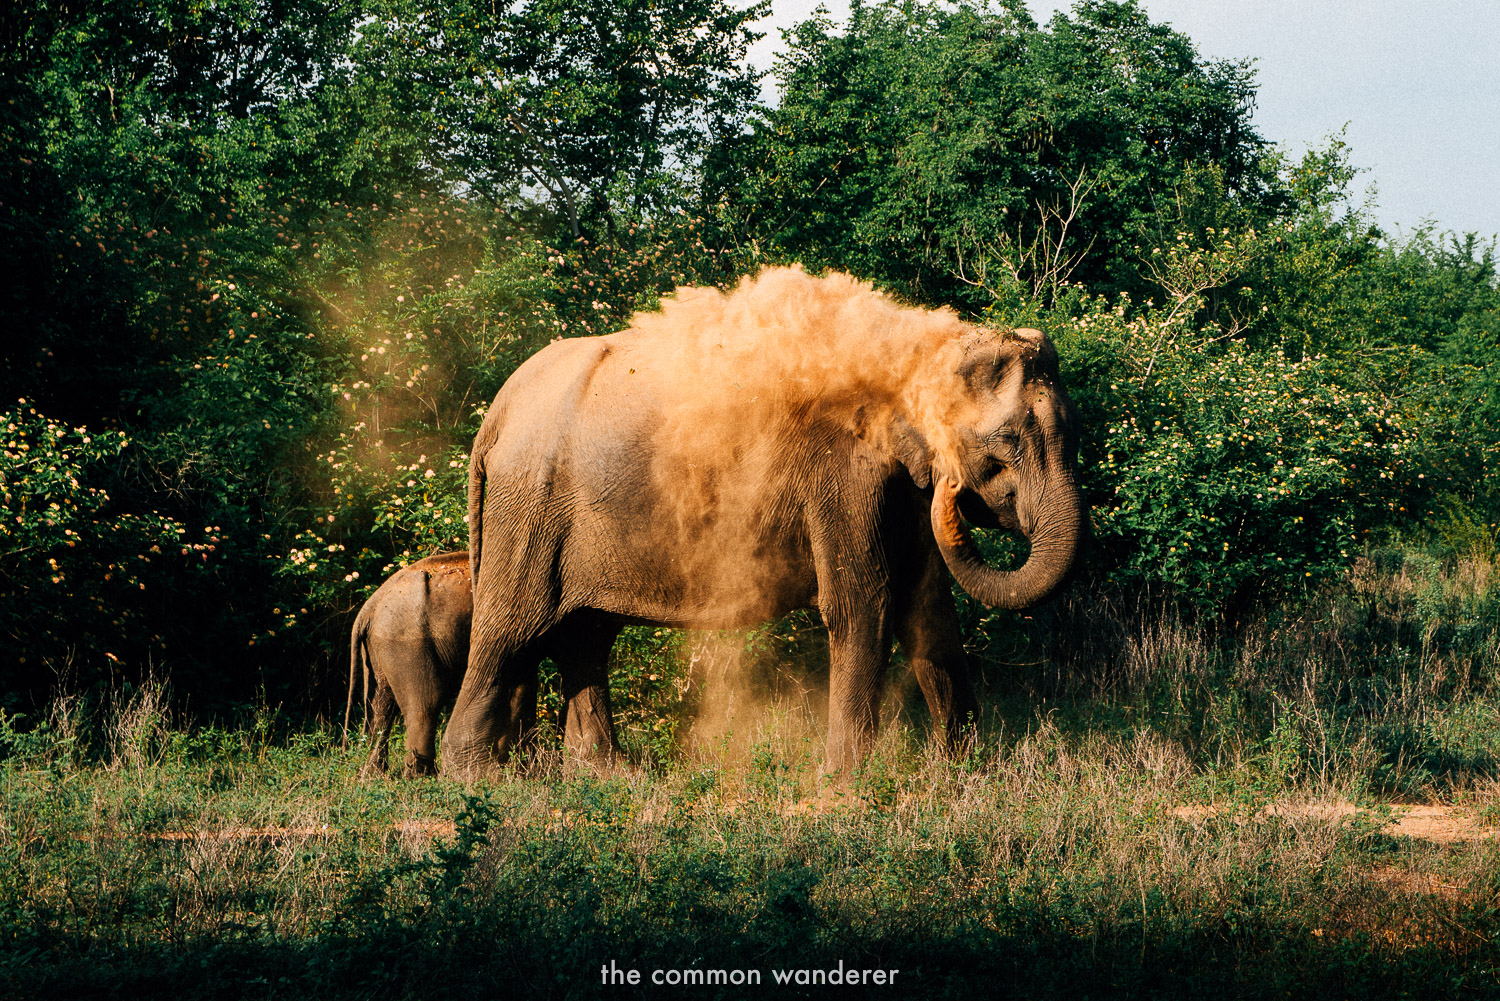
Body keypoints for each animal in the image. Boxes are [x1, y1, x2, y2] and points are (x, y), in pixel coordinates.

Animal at [345, 552, 468, 780]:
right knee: (425, 703)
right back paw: (421, 777)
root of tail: (369, 607)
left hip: (381, 646)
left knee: (382, 704)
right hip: (409, 643)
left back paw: (372, 775)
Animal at [441, 264, 1080, 774]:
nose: (952, 487)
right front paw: (846, 783)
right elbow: (864, 604)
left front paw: (963, 772)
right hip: (530, 508)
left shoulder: (898, 488)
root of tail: (495, 414)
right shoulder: (842, 474)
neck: (914, 352)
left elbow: (927, 608)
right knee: (511, 630)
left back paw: (609, 775)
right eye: (1005, 445)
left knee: (586, 636)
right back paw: (476, 777)